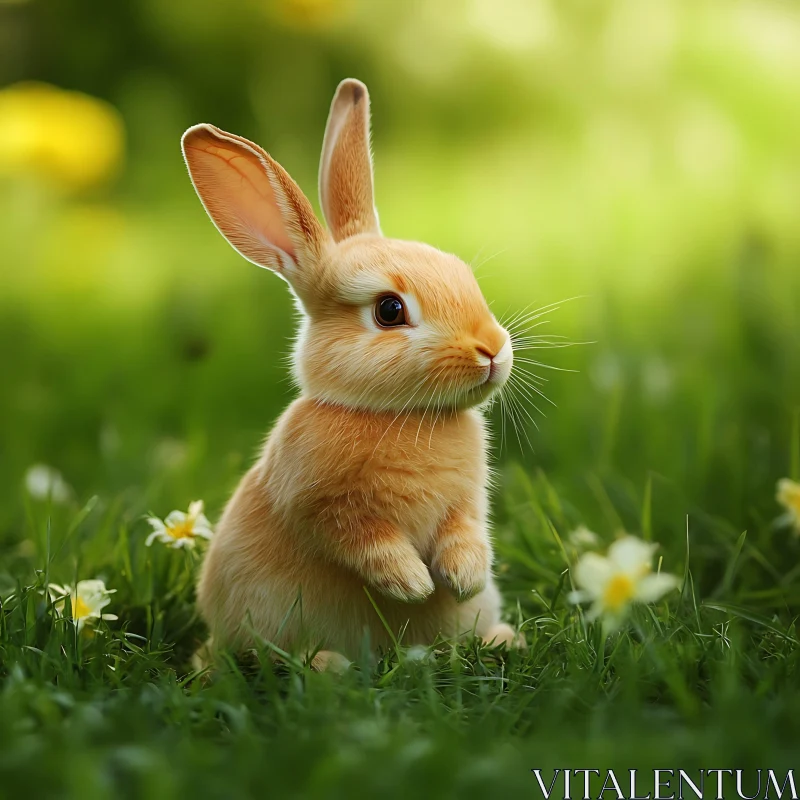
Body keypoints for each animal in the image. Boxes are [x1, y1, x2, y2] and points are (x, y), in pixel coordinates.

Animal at [181, 79, 520, 668]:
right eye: (389, 310)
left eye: (461, 272)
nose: (493, 350)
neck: (397, 416)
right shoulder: (323, 509)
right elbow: (366, 543)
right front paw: (413, 584)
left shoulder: (467, 502)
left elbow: (465, 530)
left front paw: (463, 579)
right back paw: (329, 666)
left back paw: (503, 639)